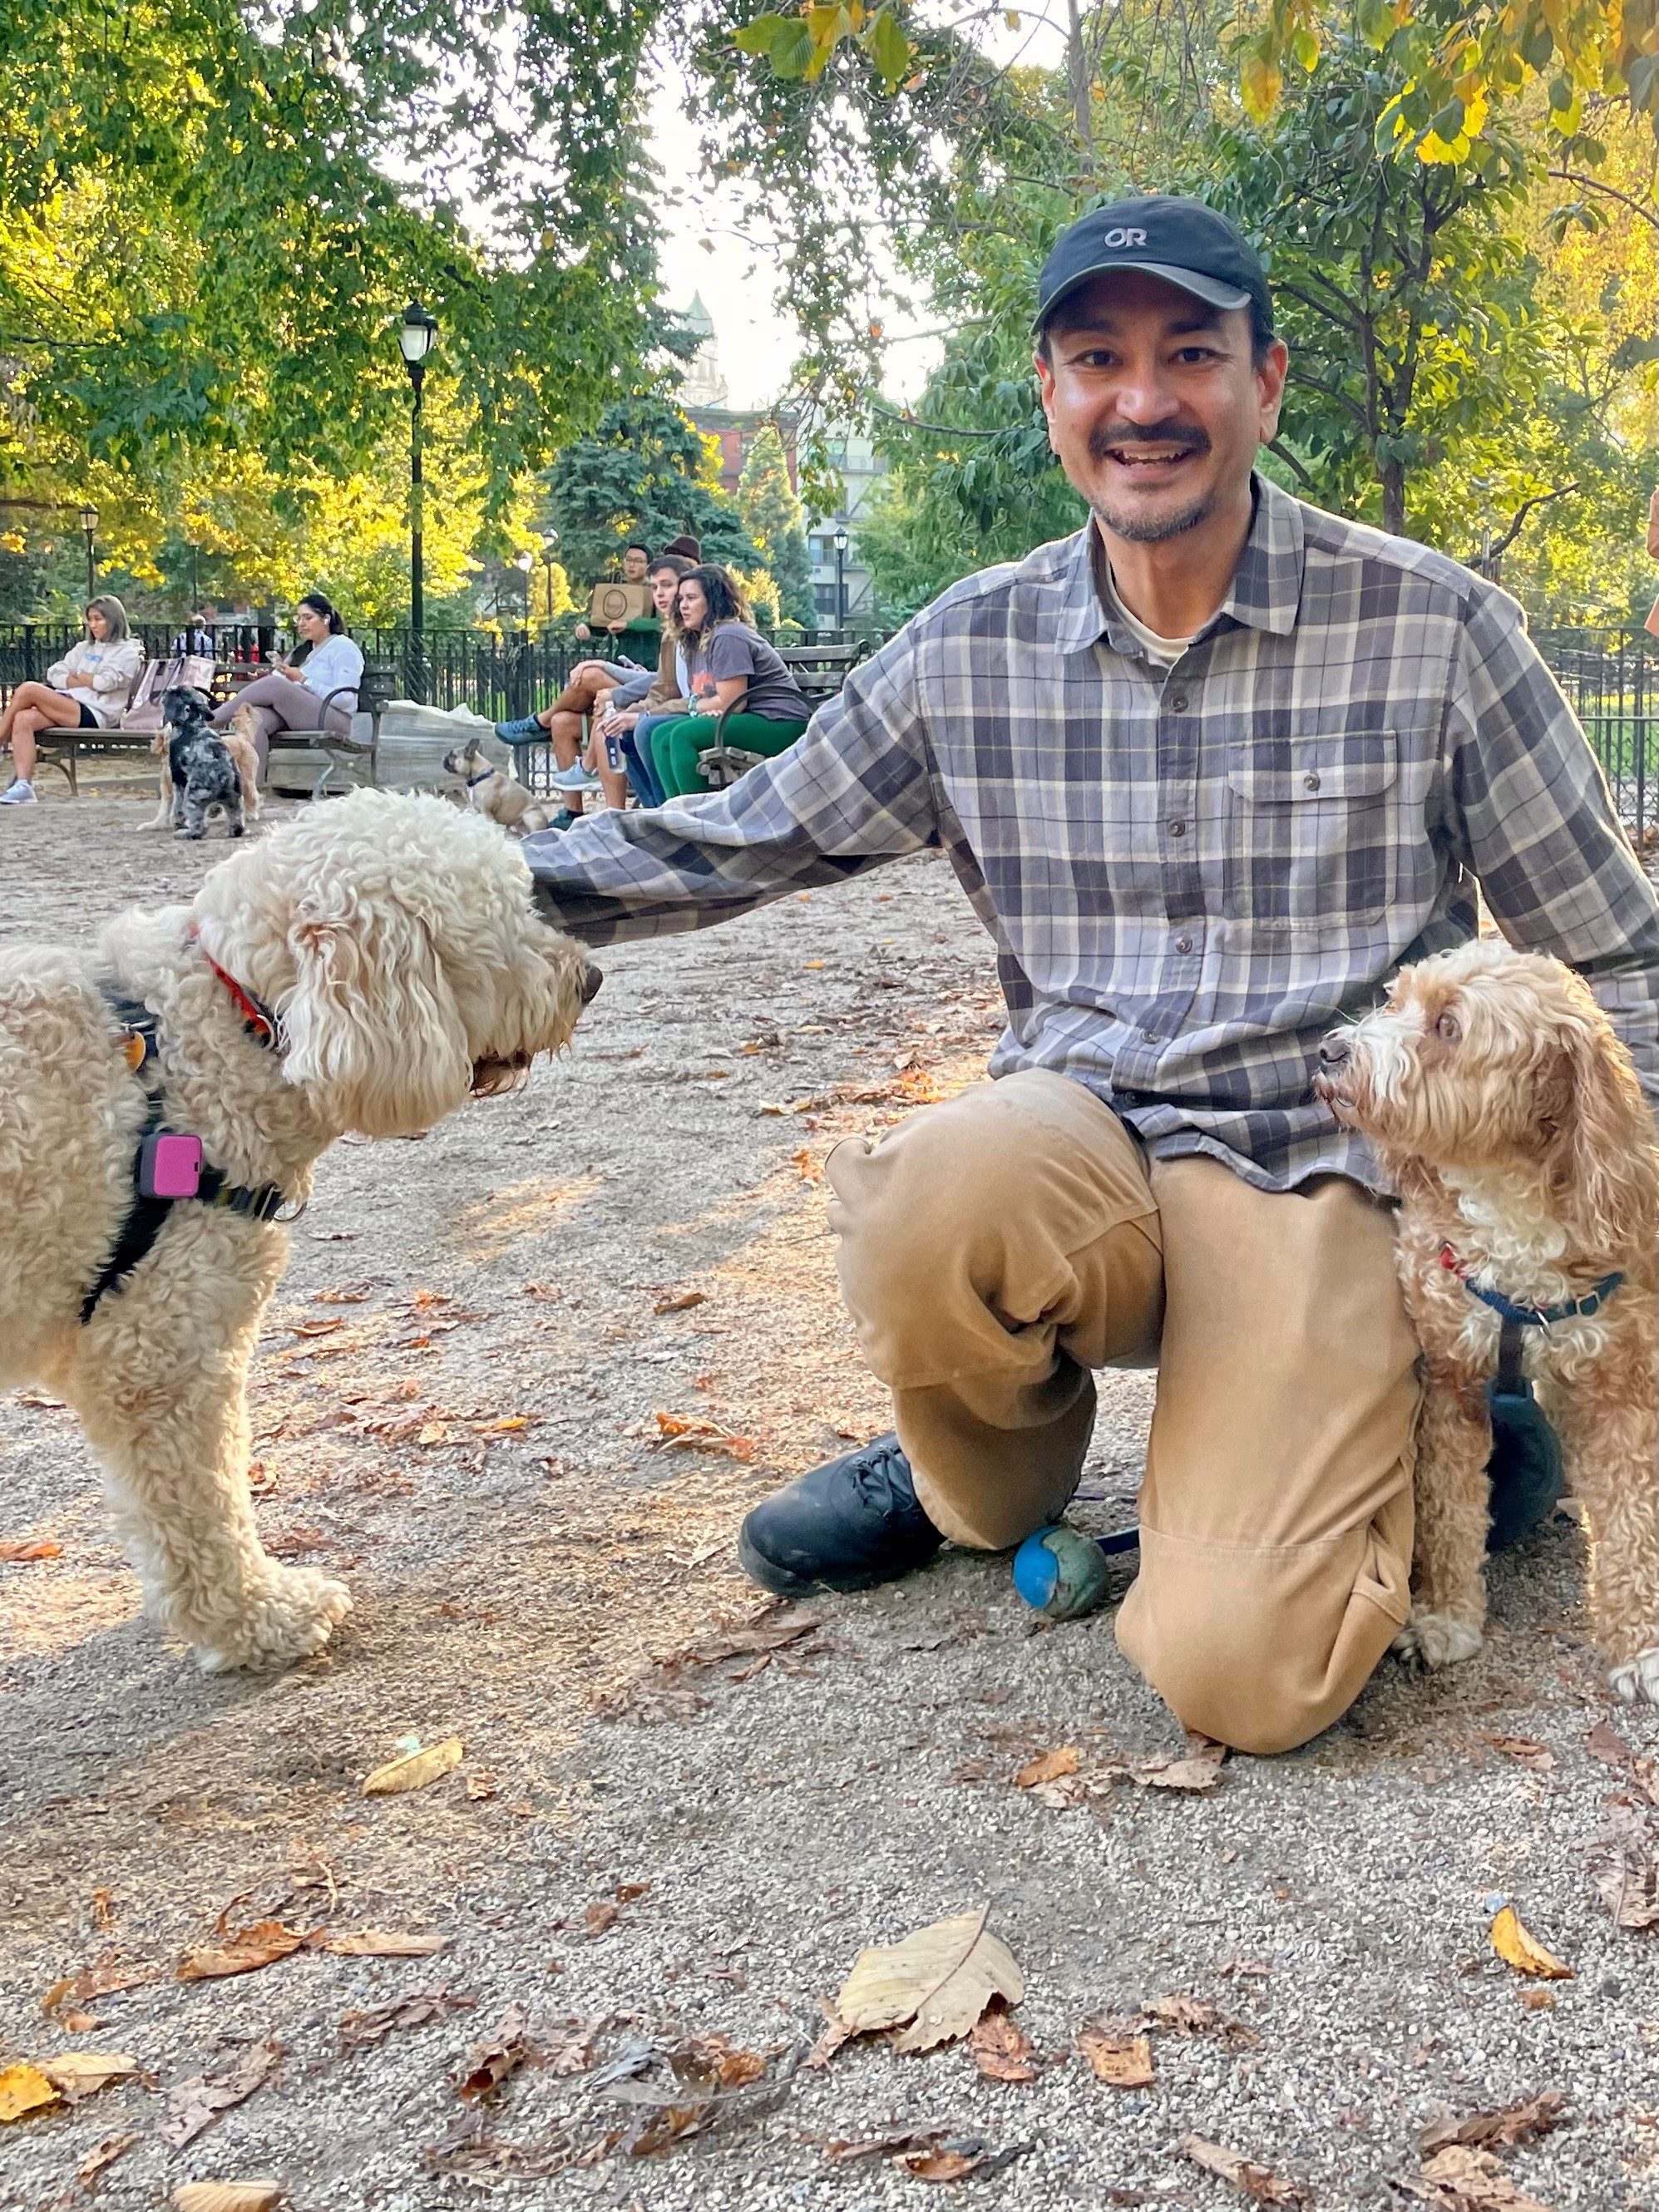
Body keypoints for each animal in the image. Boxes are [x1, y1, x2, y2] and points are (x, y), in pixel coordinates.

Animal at [0, 787, 605, 1663]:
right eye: (501, 919)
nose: (590, 976)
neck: (216, 1028)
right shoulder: (162, 1356)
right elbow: (204, 1514)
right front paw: (260, 1616)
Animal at [160, 685, 246, 840]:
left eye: (172, 692)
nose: (165, 690)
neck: (192, 725)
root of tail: (224, 778)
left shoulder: (178, 779)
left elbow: (177, 807)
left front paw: (177, 823)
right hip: (235, 802)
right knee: (237, 823)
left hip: (192, 800)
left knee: (199, 827)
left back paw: (185, 834)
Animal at [1327, 942, 1659, 1698]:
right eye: (1394, 1000)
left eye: (1447, 1027)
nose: (1330, 1051)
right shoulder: (1449, 1381)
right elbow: (1447, 1514)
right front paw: (1445, 1620)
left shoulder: (1616, 1387)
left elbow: (1632, 1522)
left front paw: (1641, 1646)